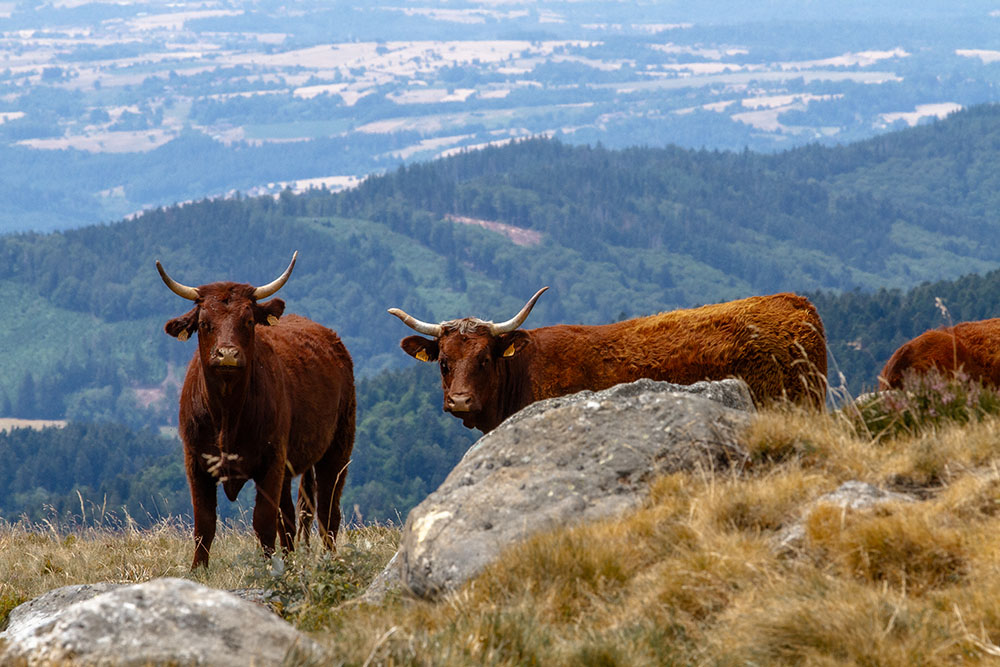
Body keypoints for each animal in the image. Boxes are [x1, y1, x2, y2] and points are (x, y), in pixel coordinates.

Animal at [158, 252, 355, 568]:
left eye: (249, 321)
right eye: (204, 323)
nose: (227, 354)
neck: (227, 413)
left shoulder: (270, 461)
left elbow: (263, 521)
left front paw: (269, 568)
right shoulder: (195, 461)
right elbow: (204, 522)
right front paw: (197, 569)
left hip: (338, 448)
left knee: (328, 511)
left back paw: (329, 560)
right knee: (291, 517)